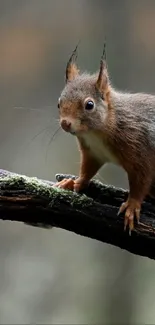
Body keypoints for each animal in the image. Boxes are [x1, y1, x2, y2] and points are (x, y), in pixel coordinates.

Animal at [53, 44, 155, 234]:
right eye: (58, 103)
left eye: (89, 105)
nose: (65, 123)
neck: (96, 133)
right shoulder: (93, 152)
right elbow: (87, 170)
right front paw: (74, 182)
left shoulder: (141, 149)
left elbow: (141, 180)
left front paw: (132, 205)